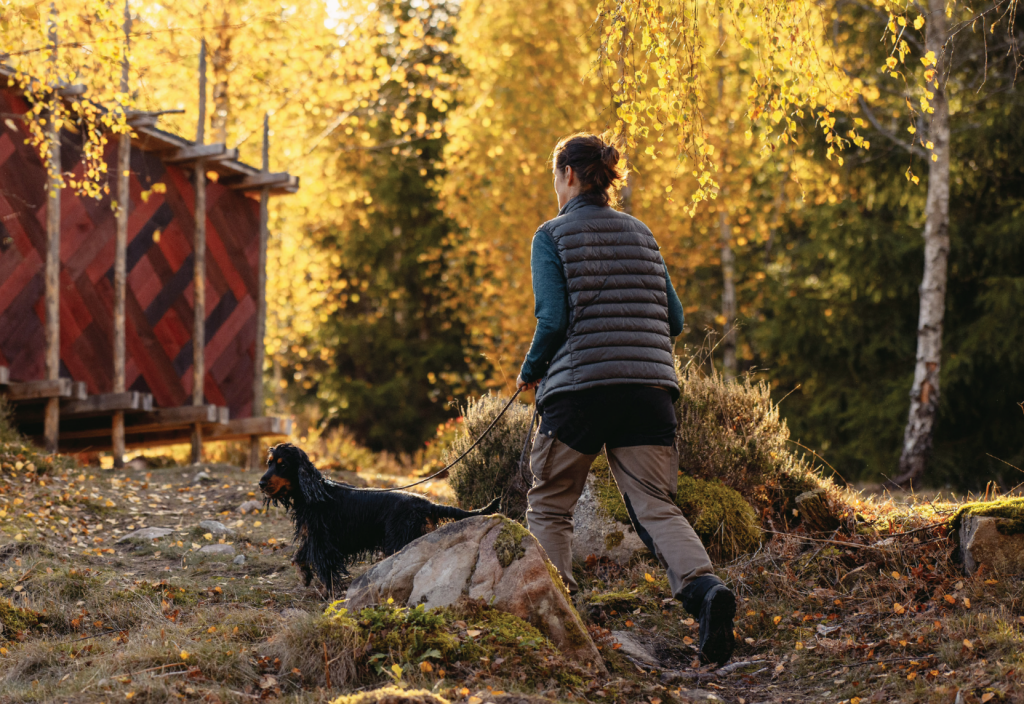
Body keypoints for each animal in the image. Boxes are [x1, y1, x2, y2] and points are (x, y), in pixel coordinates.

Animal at [260, 446, 499, 593]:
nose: (261, 483)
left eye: (282, 464)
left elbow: (325, 568)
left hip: (399, 539)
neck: (315, 492)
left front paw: (329, 593)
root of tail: (426, 503)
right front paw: (304, 576)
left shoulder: (324, 541)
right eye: (269, 463)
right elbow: (299, 555)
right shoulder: (315, 536)